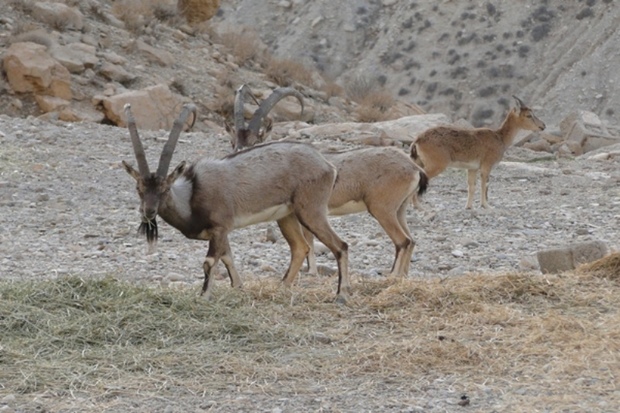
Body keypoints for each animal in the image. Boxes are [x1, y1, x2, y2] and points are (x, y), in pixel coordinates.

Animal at [122, 102, 348, 300]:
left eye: (165, 189)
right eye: (139, 189)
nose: (149, 212)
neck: (191, 194)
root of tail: (327, 165)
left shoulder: (220, 228)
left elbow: (209, 262)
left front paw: (204, 297)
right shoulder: (222, 233)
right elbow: (227, 257)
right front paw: (238, 287)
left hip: (310, 211)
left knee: (340, 246)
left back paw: (341, 296)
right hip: (287, 216)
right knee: (300, 248)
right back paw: (282, 287)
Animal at [230, 84, 428, 276]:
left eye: (255, 141)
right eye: (234, 143)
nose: (239, 162)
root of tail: (414, 168)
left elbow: (308, 241)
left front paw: (311, 272)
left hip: (382, 208)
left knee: (403, 241)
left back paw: (392, 277)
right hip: (399, 209)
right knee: (411, 240)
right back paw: (402, 276)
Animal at [410, 96, 544, 209]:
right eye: (529, 115)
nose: (543, 126)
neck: (500, 138)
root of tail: (417, 140)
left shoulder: (472, 168)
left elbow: (472, 187)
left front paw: (469, 207)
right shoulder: (486, 165)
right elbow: (484, 185)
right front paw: (486, 206)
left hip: (419, 161)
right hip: (437, 164)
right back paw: (418, 206)